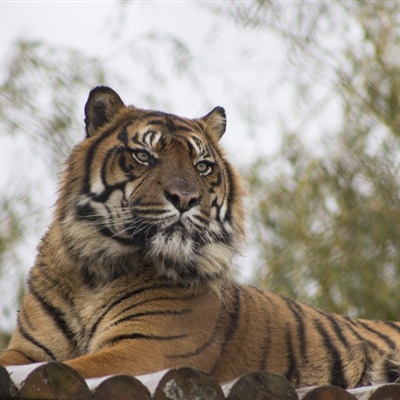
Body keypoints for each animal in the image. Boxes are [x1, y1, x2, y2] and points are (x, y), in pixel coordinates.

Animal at [0, 86, 400, 390]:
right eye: (144, 156)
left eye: (202, 166)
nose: (185, 198)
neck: (94, 270)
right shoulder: (29, 352)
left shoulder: (144, 350)